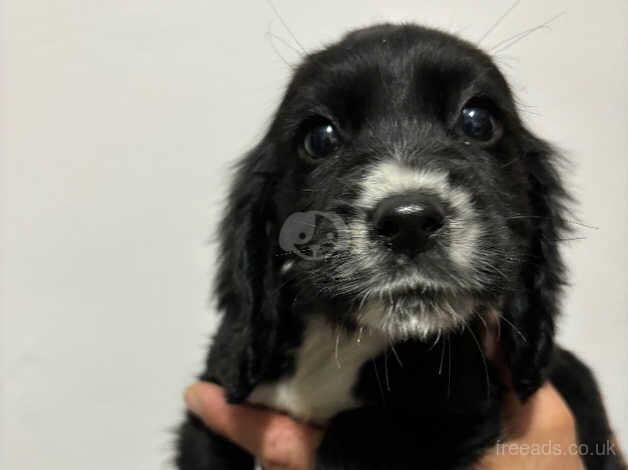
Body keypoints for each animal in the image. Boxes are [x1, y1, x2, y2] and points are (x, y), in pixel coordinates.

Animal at [175, 23, 620, 470]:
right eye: (319, 138)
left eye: (478, 121)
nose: (409, 223)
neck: (342, 340)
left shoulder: (458, 408)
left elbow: (367, 434)